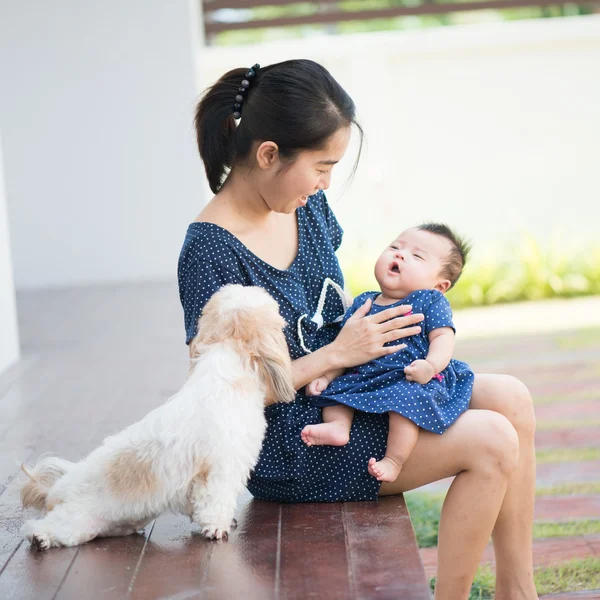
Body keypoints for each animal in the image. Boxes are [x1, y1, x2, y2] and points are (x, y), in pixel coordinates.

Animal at [19, 284, 296, 552]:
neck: (224, 374)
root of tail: (59, 487)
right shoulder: (220, 468)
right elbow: (215, 500)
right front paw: (217, 527)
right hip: (75, 519)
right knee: (43, 527)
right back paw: (39, 538)